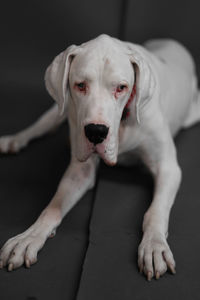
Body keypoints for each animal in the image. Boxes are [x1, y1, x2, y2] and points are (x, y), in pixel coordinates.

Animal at [0, 35, 198, 282]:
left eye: (121, 87)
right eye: (80, 85)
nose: (96, 132)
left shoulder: (168, 168)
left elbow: (156, 211)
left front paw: (154, 245)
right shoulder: (80, 171)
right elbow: (53, 207)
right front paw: (29, 237)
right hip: (61, 107)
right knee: (42, 124)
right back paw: (15, 139)